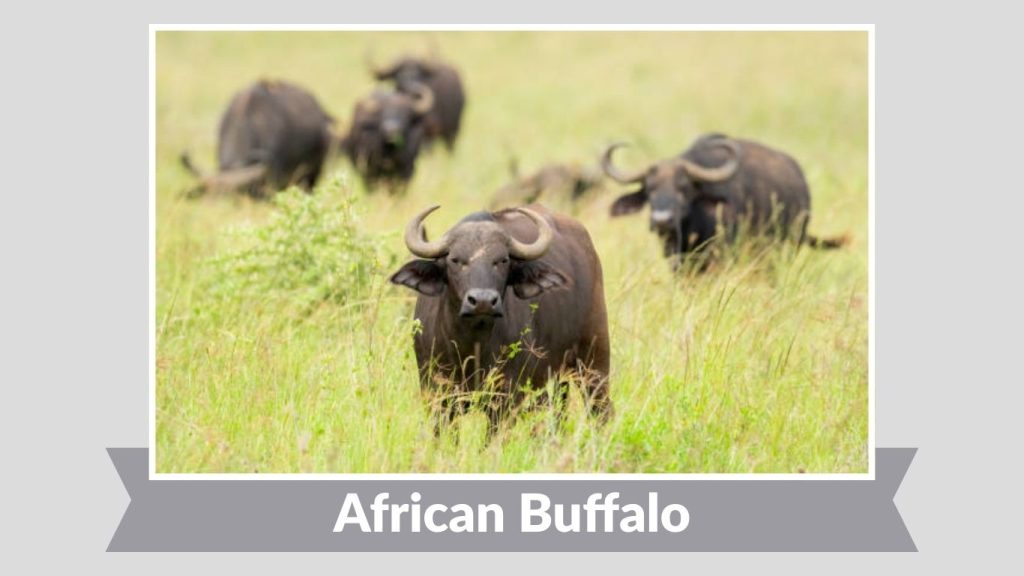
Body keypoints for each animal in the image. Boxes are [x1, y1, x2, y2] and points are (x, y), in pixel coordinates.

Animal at [390, 204, 611, 435]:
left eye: (502, 260)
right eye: (455, 260)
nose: (482, 301)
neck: (472, 346)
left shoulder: (504, 400)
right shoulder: (438, 396)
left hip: (594, 361)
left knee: (600, 409)